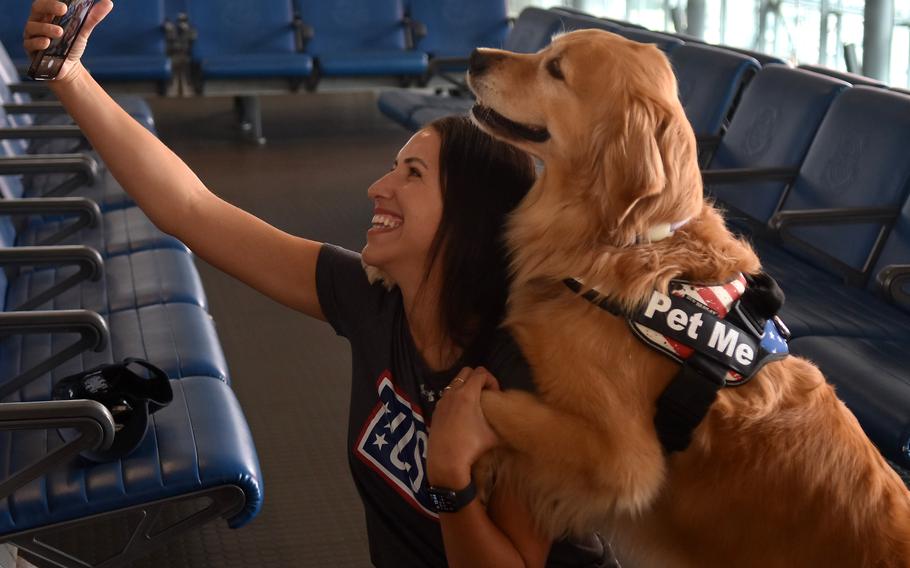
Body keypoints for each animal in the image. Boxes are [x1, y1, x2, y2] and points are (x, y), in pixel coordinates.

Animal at [466, 28, 910, 564]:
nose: (475, 56)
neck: (628, 240)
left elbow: (490, 401)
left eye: (556, 69)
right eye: (546, 51)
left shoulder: (624, 461)